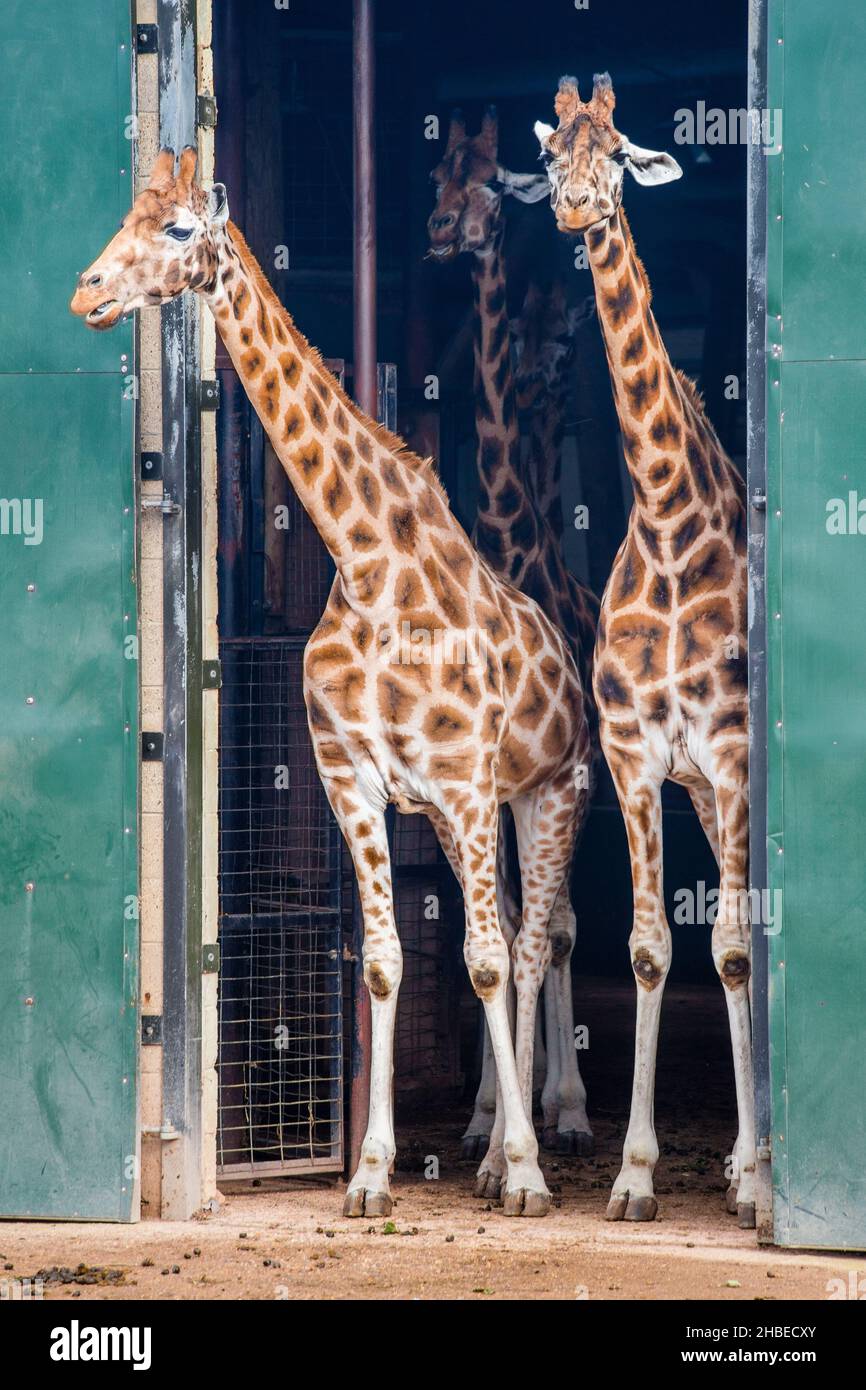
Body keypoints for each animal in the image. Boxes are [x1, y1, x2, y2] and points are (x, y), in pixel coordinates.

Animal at [71, 143, 592, 1217]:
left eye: (176, 228)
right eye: (126, 213)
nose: (86, 293)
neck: (365, 562)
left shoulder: (462, 783)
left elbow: (485, 960)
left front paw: (524, 1175)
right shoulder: (354, 778)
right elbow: (386, 964)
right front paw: (371, 1175)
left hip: (550, 791)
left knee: (531, 944)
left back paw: (525, 1151)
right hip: (490, 809)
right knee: (520, 933)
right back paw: (485, 1151)